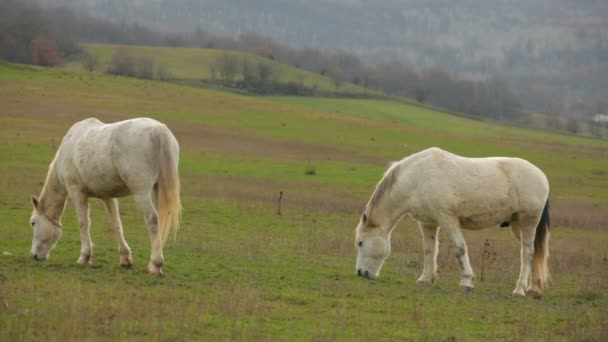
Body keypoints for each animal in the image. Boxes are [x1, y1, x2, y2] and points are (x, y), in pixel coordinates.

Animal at [29, 117, 180, 276]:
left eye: (33, 223)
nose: (33, 255)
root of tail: (158, 130)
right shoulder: (107, 196)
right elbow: (115, 224)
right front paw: (125, 257)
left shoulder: (76, 192)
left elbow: (83, 223)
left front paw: (85, 256)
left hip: (141, 193)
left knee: (152, 220)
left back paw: (156, 264)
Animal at [356, 148, 552, 296]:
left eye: (360, 243)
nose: (360, 273)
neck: (417, 178)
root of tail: (541, 176)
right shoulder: (428, 223)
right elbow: (429, 250)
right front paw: (426, 279)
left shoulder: (447, 219)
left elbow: (459, 249)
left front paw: (467, 282)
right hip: (517, 225)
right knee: (534, 253)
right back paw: (533, 288)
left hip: (528, 221)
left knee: (527, 253)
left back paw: (519, 290)